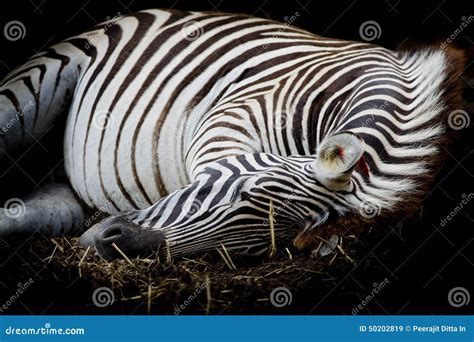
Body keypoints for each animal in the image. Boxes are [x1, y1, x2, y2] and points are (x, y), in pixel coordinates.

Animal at [0, 8, 464, 260]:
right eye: (246, 190)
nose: (111, 245)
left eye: (251, 251)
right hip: (31, 90)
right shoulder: (234, 117)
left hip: (62, 197)